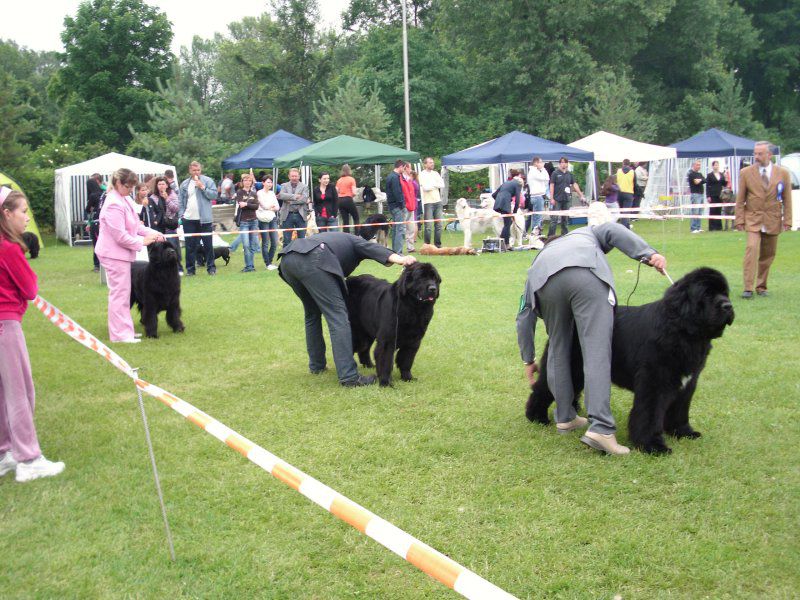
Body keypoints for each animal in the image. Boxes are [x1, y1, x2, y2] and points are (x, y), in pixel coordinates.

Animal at [528, 268, 736, 454]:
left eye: (725, 293)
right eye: (707, 294)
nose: (728, 306)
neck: (682, 330)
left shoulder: (687, 383)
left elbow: (680, 410)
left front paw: (683, 432)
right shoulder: (655, 382)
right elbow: (650, 415)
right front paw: (652, 445)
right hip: (570, 364)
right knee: (543, 388)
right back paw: (537, 417)